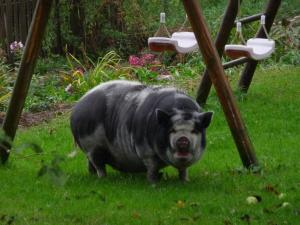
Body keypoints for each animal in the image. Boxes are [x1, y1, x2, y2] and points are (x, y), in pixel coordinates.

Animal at [69, 81, 213, 183]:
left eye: (194, 130)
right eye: (172, 130)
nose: (183, 139)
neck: (182, 109)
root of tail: (76, 107)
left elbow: (183, 170)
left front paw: (185, 181)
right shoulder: (145, 151)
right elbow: (152, 167)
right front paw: (153, 183)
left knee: (90, 163)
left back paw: (92, 175)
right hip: (92, 146)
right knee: (98, 164)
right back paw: (103, 178)